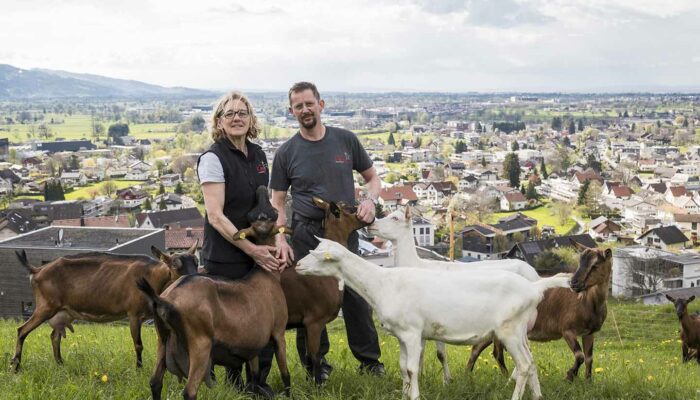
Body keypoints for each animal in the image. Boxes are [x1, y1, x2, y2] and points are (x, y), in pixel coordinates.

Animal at [10, 242, 200, 374]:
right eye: (175, 265)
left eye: (196, 262)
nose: (194, 279)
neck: (152, 276)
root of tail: (37, 270)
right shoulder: (134, 314)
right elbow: (138, 344)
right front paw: (139, 369)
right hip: (45, 306)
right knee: (22, 330)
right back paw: (16, 366)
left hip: (63, 312)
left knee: (54, 336)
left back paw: (60, 364)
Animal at [296, 238, 576, 400]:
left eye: (319, 256)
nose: (297, 265)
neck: (382, 283)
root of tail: (534, 288)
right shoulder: (403, 336)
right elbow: (403, 368)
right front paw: (405, 395)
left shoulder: (411, 332)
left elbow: (411, 369)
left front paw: (414, 396)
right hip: (518, 332)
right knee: (531, 362)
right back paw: (537, 396)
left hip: (509, 330)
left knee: (525, 365)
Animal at [370, 206, 540, 382]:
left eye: (395, 218)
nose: (371, 224)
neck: (415, 264)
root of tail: (533, 273)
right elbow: (421, 352)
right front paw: (422, 376)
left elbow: (440, 354)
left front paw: (447, 380)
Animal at [468, 241, 608, 382]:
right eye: (579, 262)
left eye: (595, 265)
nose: (574, 283)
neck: (587, 301)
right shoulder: (567, 329)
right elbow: (580, 356)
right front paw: (569, 375)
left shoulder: (589, 332)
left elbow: (589, 358)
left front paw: (588, 381)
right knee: (496, 353)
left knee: (477, 349)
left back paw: (469, 374)